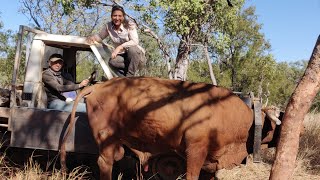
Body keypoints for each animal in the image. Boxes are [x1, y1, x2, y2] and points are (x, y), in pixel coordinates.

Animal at [60, 76, 278, 179]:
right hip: (106, 138)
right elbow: (191, 175)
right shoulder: (195, 150)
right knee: (105, 163)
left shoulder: (212, 161)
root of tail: (98, 86)